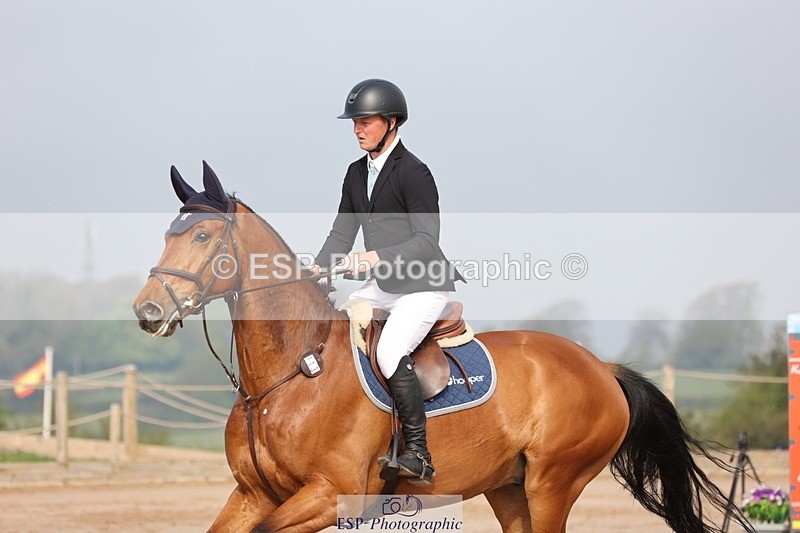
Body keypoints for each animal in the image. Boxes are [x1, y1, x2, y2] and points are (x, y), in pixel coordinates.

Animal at [133, 162, 736, 532]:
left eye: (203, 236)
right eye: (166, 234)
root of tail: (601, 367)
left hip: (553, 483)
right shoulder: (254, 494)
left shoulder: (330, 494)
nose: (147, 312)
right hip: (511, 488)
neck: (289, 373)